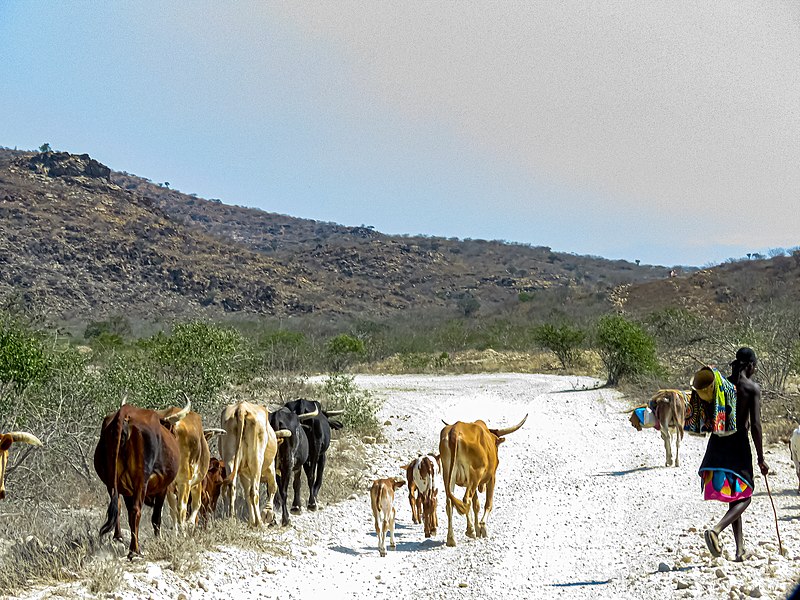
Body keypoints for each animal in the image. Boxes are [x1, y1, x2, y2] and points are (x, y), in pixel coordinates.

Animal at [94, 400, 185, 560]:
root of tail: (125, 413)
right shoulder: (162, 488)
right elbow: (156, 518)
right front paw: (158, 539)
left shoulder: (127, 490)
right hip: (141, 480)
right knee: (136, 511)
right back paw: (134, 550)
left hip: (112, 482)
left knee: (118, 507)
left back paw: (120, 539)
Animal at [438, 412, 524, 548]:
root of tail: (455, 431)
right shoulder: (491, 477)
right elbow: (488, 503)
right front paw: (482, 527)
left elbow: (476, 505)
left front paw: (478, 528)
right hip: (475, 474)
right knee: (466, 499)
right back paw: (470, 530)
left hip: (448, 474)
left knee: (450, 502)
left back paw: (451, 538)